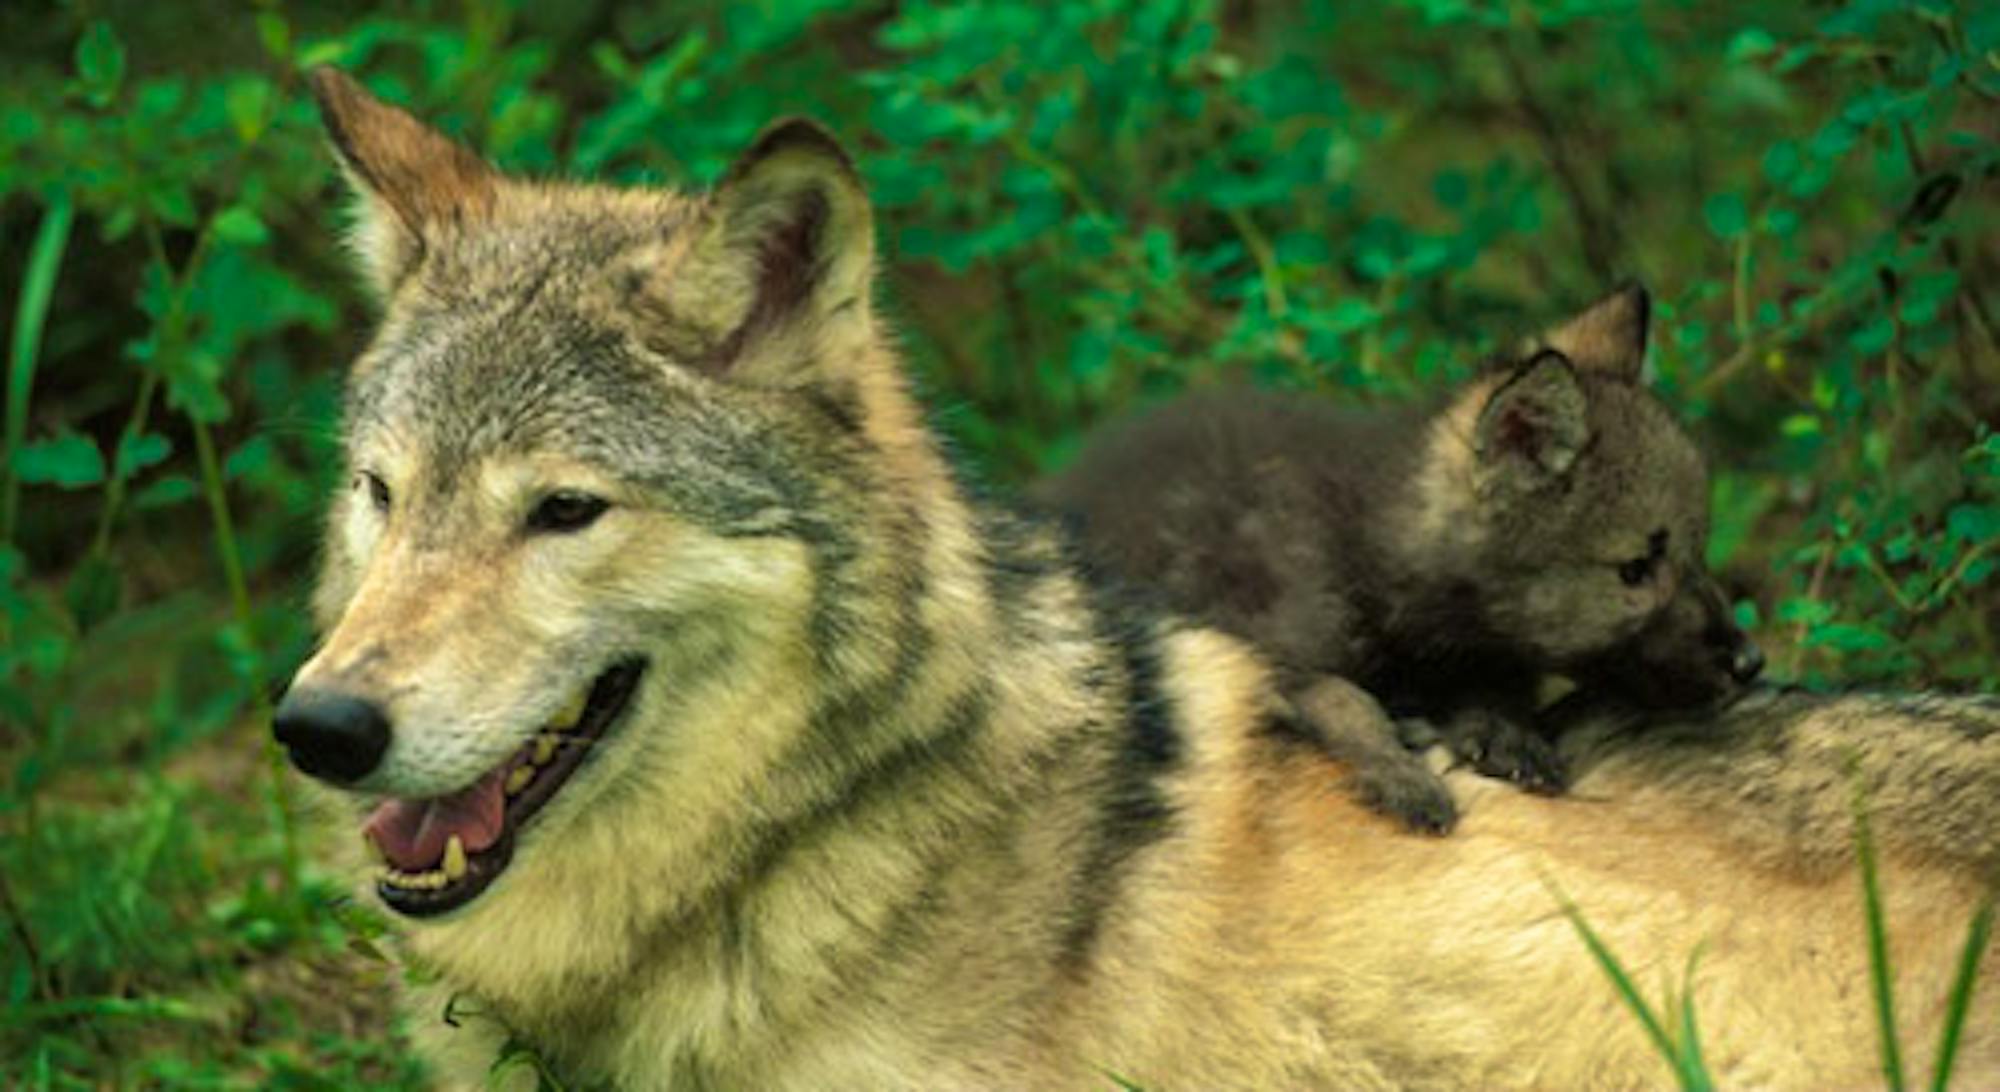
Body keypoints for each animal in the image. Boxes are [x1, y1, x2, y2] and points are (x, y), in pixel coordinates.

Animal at [1036, 287, 1765, 826]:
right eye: (1635, 570)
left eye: (1697, 550)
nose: (1751, 663)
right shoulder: (1266, 645)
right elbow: (1346, 697)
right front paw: (1399, 771)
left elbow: (1489, 693)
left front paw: (1503, 736)